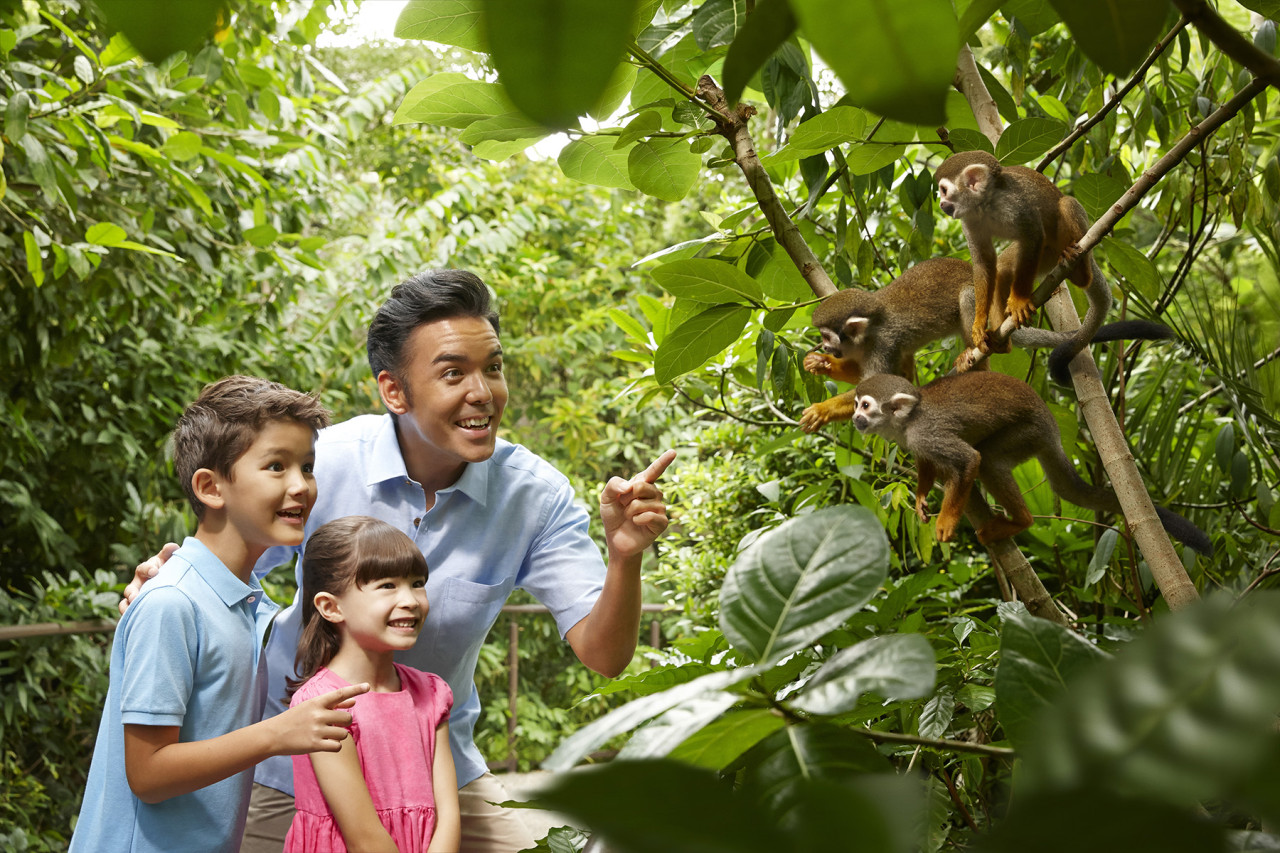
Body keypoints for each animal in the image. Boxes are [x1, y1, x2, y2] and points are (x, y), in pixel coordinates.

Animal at [798, 253, 1172, 427]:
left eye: (828, 336)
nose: (827, 346)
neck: (867, 335)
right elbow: (896, 378)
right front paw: (822, 364)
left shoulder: (882, 344)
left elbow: (883, 386)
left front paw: (823, 408)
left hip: (987, 307)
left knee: (967, 296)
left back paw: (983, 353)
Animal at [849, 371, 1208, 555]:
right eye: (855, 405)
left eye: (865, 405)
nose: (854, 418)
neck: (908, 422)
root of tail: (1053, 430)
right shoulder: (914, 441)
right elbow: (927, 464)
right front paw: (922, 497)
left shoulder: (927, 433)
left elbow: (969, 460)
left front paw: (947, 522)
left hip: (1029, 433)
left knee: (990, 461)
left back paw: (1020, 521)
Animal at [931, 148, 1111, 371]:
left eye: (943, 190)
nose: (941, 204)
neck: (986, 204)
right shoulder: (968, 218)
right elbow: (984, 261)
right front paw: (979, 324)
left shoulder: (1014, 204)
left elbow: (1032, 236)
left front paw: (1018, 302)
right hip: (1048, 256)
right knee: (1002, 268)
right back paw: (1002, 341)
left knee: (1066, 204)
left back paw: (1081, 273)